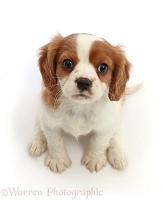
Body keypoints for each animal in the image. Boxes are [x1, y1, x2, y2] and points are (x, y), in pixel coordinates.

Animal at [28, 33, 132, 173]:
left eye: (103, 67)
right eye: (67, 63)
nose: (83, 82)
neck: (80, 106)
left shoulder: (105, 126)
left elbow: (98, 142)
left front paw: (94, 159)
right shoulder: (50, 122)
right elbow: (55, 142)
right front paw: (58, 160)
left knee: (116, 131)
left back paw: (118, 154)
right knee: (39, 123)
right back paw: (37, 141)